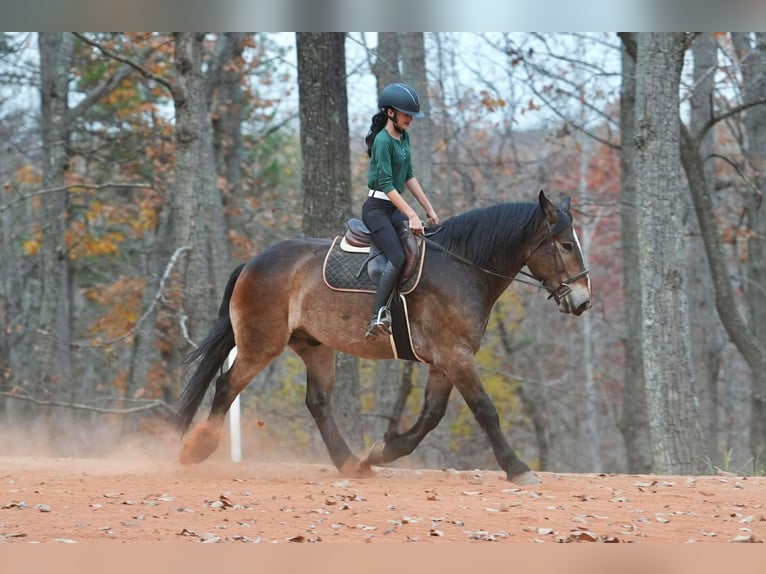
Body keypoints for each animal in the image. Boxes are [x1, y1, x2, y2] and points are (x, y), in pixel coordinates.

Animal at [174, 190, 591, 485]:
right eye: (566, 245)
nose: (583, 301)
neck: (461, 267)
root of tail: (253, 262)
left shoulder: (444, 361)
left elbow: (431, 416)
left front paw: (382, 451)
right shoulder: (455, 355)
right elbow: (485, 410)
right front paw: (517, 468)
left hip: (315, 347)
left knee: (318, 403)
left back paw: (351, 463)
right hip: (261, 344)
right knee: (227, 385)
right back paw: (196, 449)